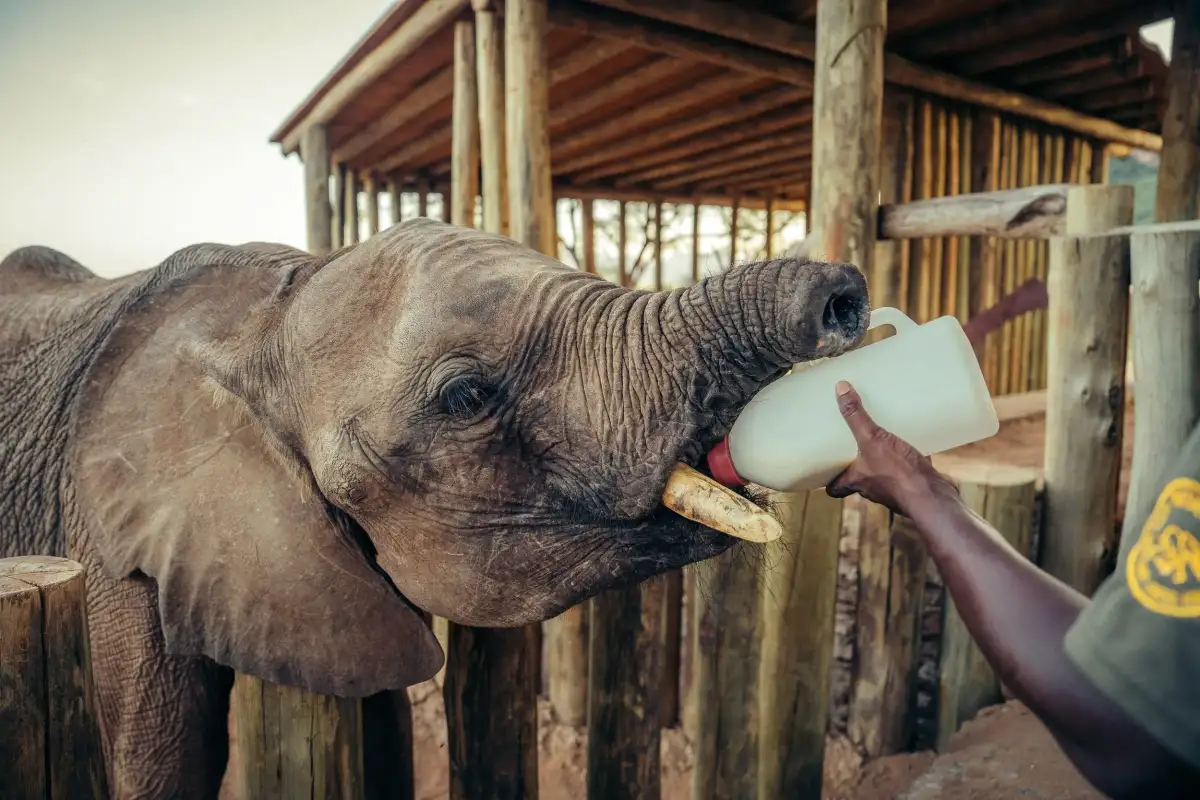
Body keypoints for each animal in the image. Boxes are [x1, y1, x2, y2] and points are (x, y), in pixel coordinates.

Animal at [0, 218, 869, 798]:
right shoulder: (119, 561)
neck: (270, 311)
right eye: (464, 397)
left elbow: (385, 738)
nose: (844, 297)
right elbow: (156, 767)